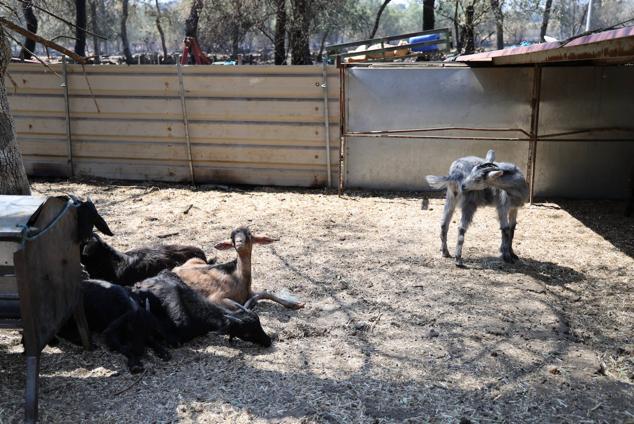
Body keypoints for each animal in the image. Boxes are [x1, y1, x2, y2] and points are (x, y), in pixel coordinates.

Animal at [172, 227, 302, 310]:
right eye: (231, 236)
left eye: (249, 233)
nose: (239, 243)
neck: (240, 278)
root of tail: (175, 269)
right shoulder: (216, 298)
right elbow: (237, 306)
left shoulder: (250, 292)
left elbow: (267, 293)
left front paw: (296, 304)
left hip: (196, 260)